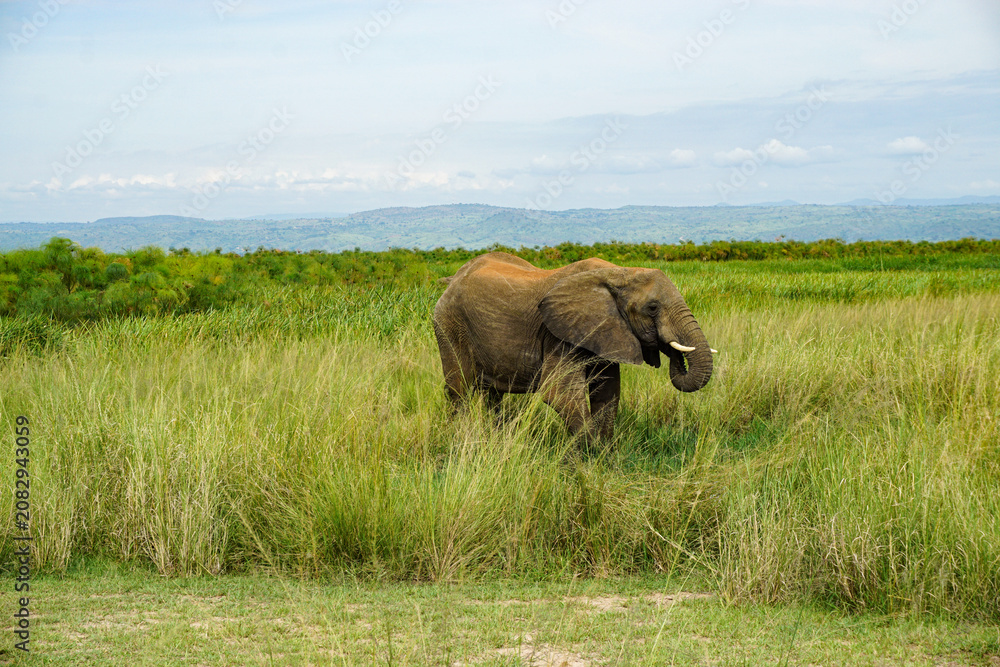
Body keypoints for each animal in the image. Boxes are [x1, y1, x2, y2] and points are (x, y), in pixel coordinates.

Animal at [432, 252, 714, 443]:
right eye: (653, 308)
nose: (675, 356)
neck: (619, 273)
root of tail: (453, 278)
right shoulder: (559, 334)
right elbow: (559, 392)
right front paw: (589, 456)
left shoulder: (605, 331)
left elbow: (608, 390)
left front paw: (604, 457)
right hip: (448, 325)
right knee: (458, 390)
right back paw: (458, 437)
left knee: (492, 395)